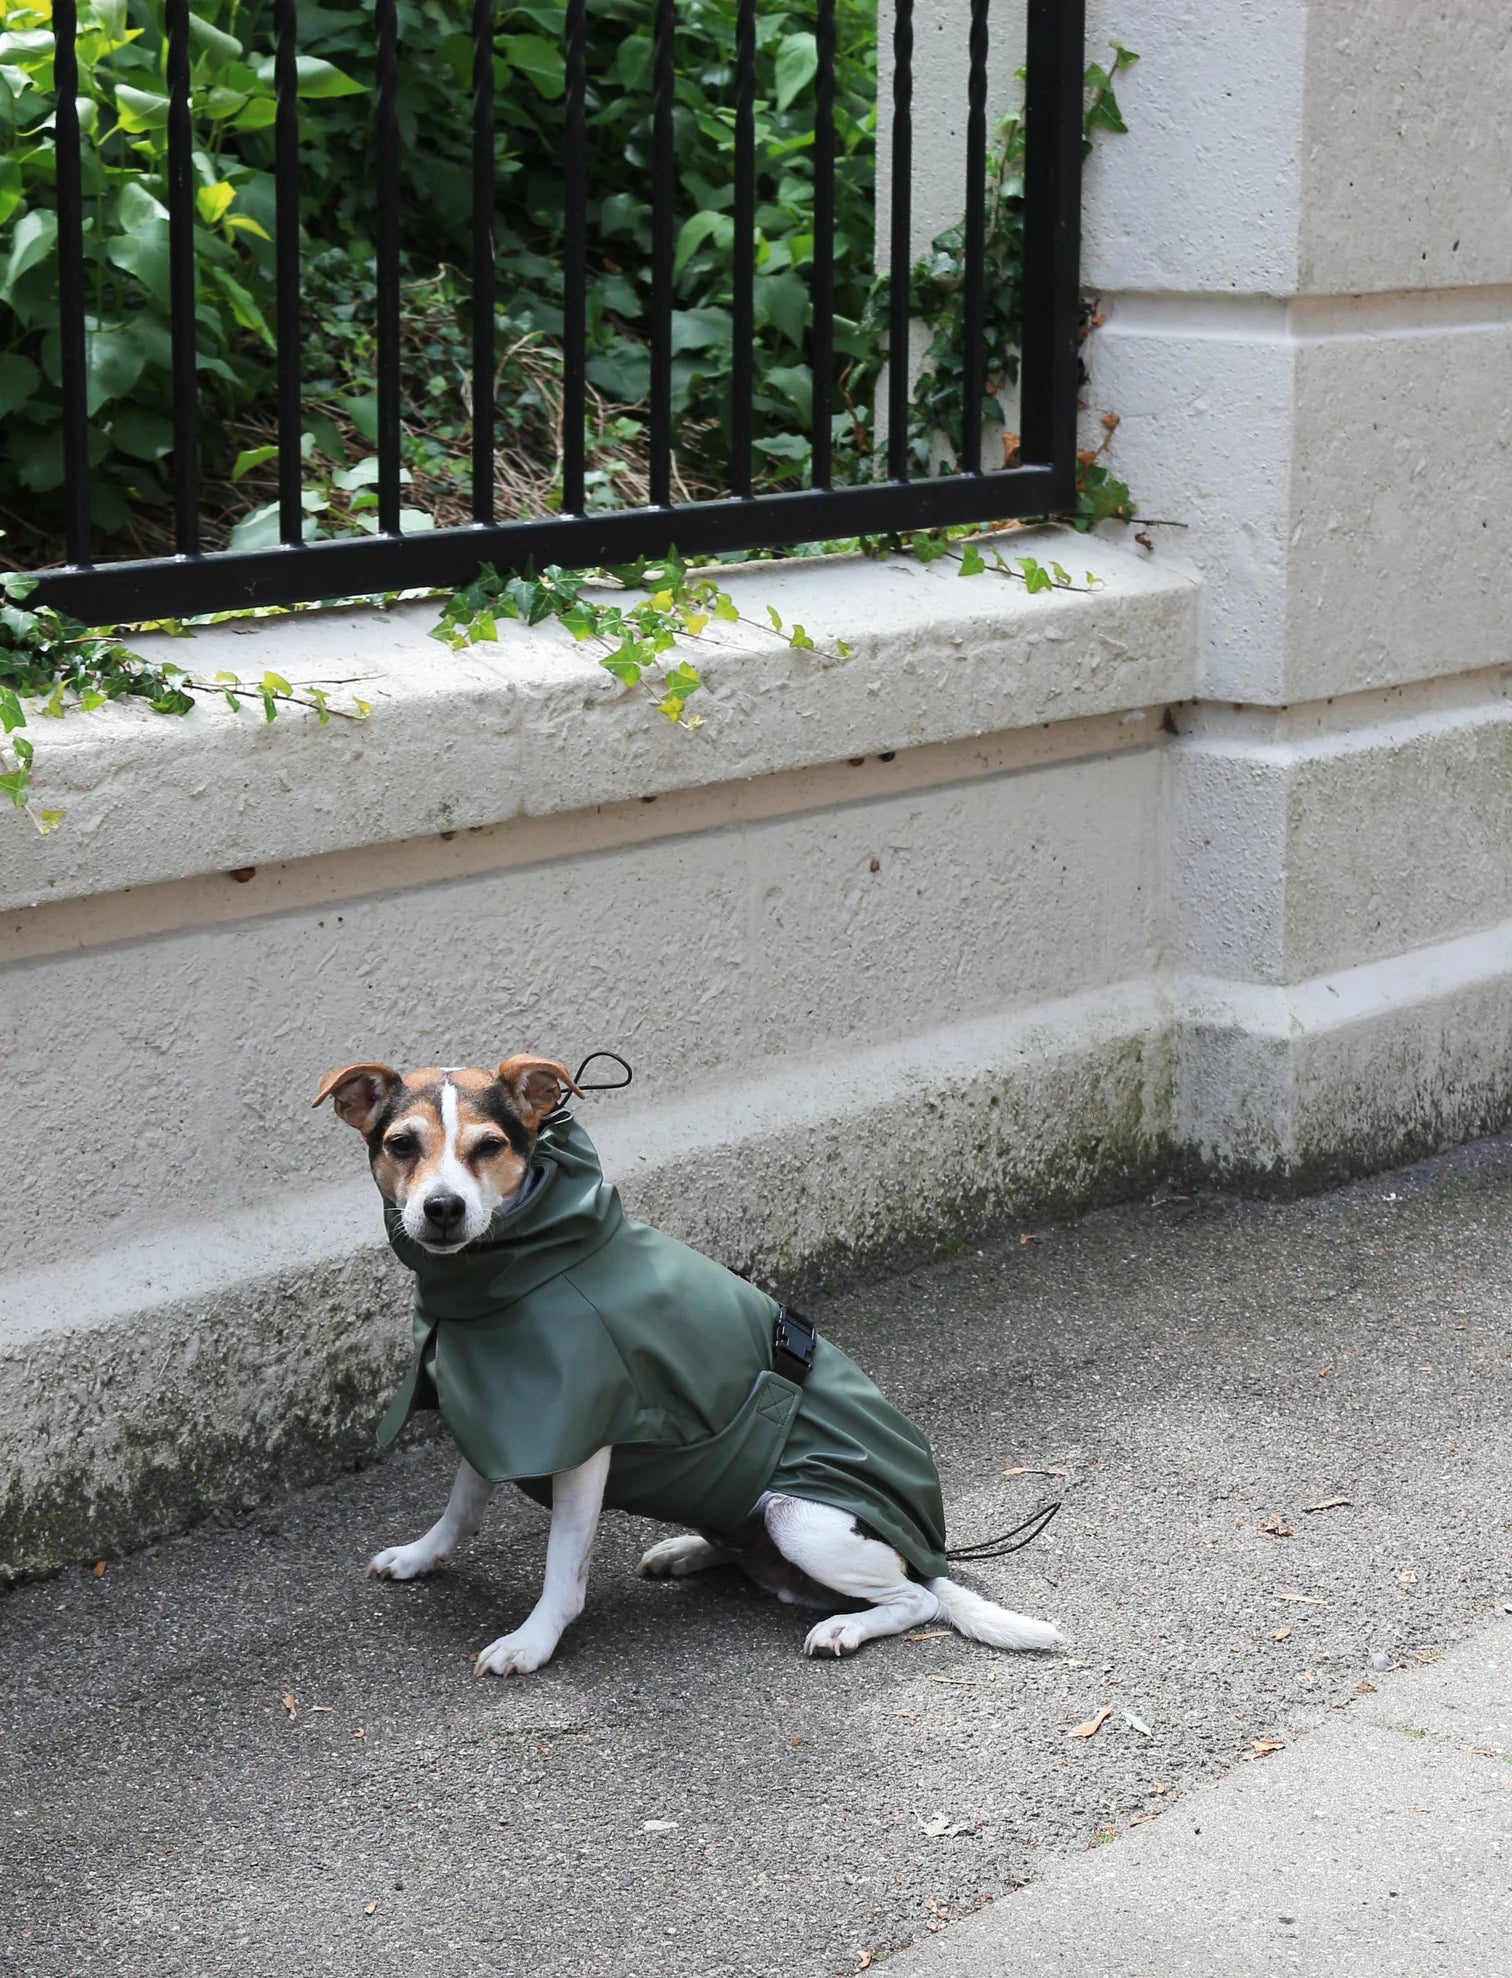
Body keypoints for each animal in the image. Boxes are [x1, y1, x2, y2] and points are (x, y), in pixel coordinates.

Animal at [312, 1060, 1060, 1677]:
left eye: (489, 1147)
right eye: (402, 1145)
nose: (443, 1208)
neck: (513, 1271)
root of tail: (923, 1552)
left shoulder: (581, 1442)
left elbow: (562, 1566)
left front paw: (533, 1641)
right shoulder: (502, 1411)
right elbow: (462, 1506)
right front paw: (422, 1555)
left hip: (801, 1517)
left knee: (915, 1602)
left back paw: (845, 1625)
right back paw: (688, 1550)